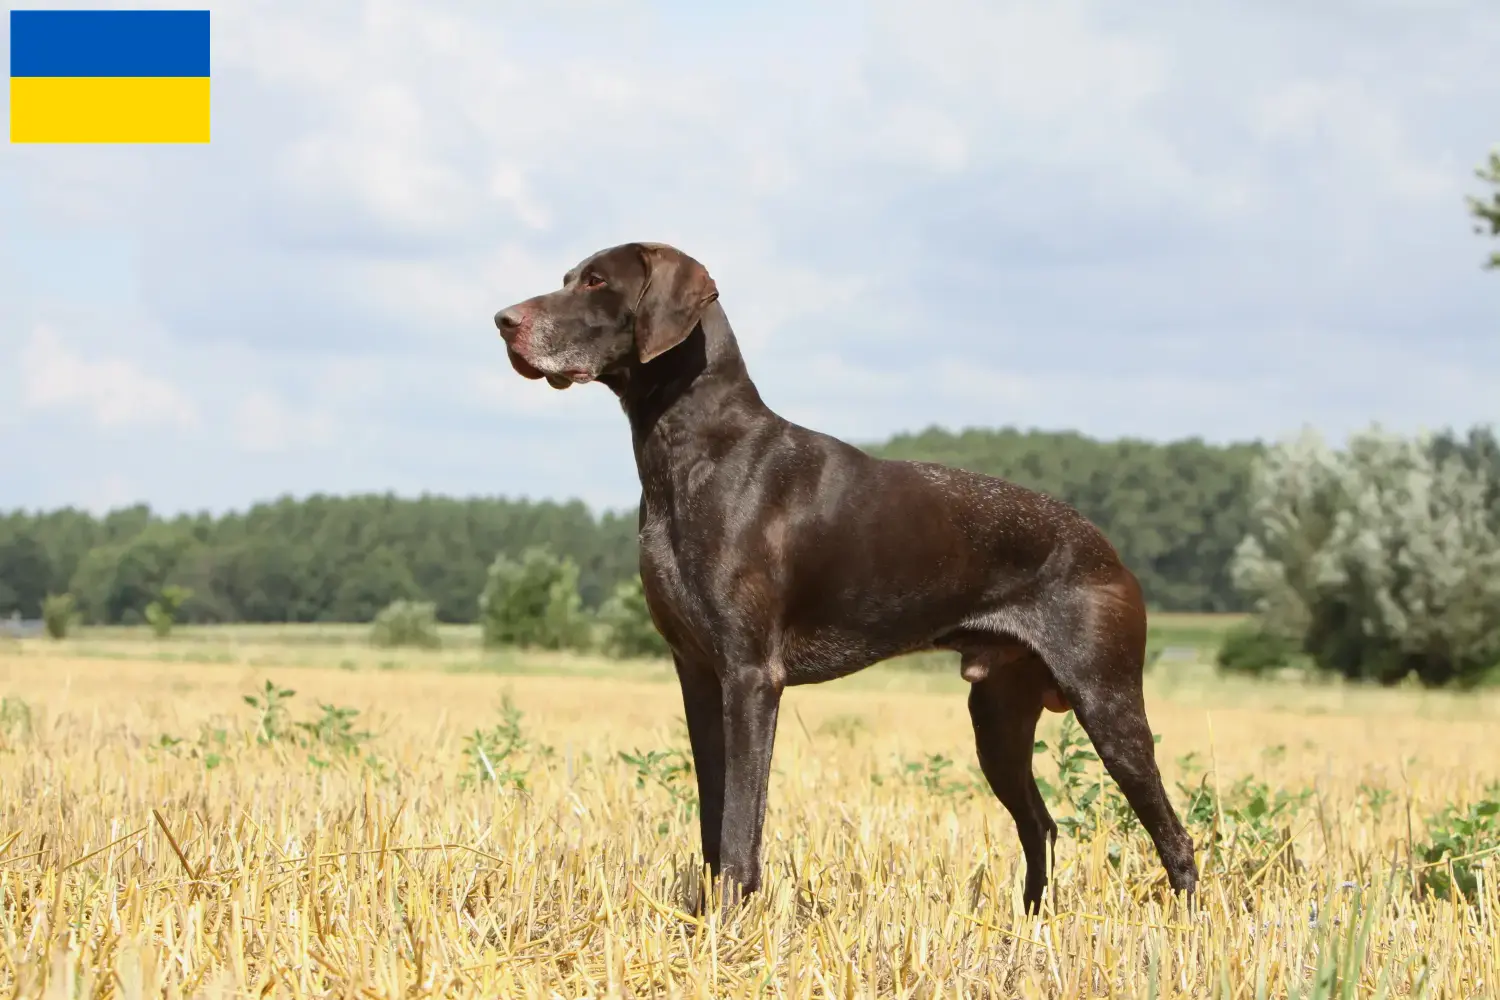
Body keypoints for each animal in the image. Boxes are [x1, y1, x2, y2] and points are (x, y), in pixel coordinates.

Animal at [492, 242, 1194, 917]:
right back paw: (1029, 927)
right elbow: (713, 819)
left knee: (1174, 836)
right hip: (998, 716)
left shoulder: (751, 676)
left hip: (1107, 702)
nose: (502, 321)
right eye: (568, 277)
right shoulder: (697, 672)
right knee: (1040, 827)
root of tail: (1108, 548)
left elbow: (741, 824)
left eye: (596, 282)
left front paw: (730, 923)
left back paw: (1185, 930)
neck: (690, 452)